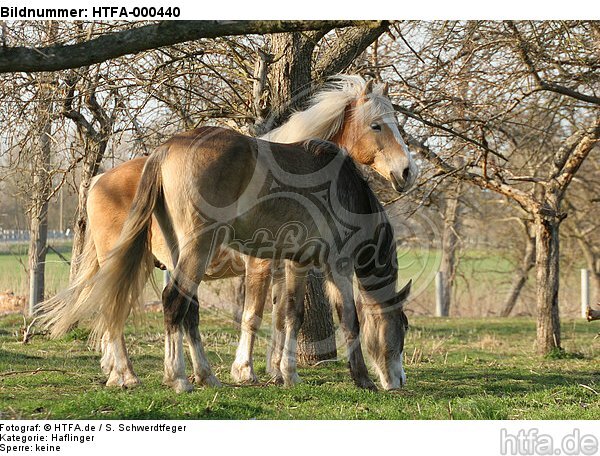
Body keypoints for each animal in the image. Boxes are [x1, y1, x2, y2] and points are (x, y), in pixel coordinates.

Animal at [38, 76, 418, 390]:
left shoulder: (295, 261)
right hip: (185, 252)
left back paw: (186, 375)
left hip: (171, 256)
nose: (407, 171)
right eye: (377, 125)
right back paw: (163, 377)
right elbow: (333, 318)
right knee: (160, 304)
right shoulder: (322, 263)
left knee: (169, 310)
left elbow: (290, 316)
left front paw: (285, 373)